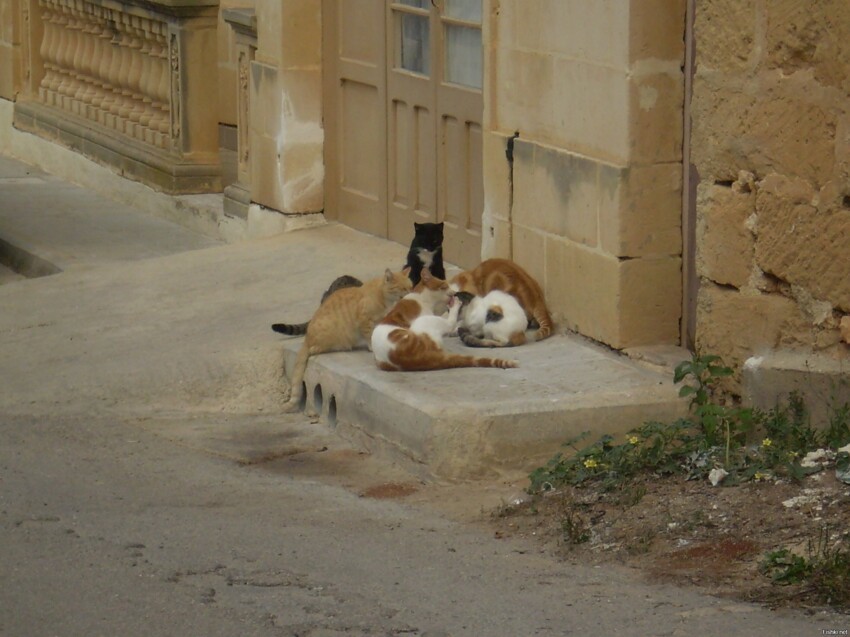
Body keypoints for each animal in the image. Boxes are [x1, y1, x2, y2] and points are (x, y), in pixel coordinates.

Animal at [276, 266, 412, 410]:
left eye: (410, 286)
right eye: (403, 288)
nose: (410, 293)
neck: (383, 296)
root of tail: (307, 338)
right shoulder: (364, 321)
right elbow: (369, 335)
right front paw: (371, 346)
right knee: (315, 349)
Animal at [372, 270, 516, 370]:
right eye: (444, 285)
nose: (454, 292)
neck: (424, 299)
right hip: (426, 321)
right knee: (450, 322)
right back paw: (456, 305)